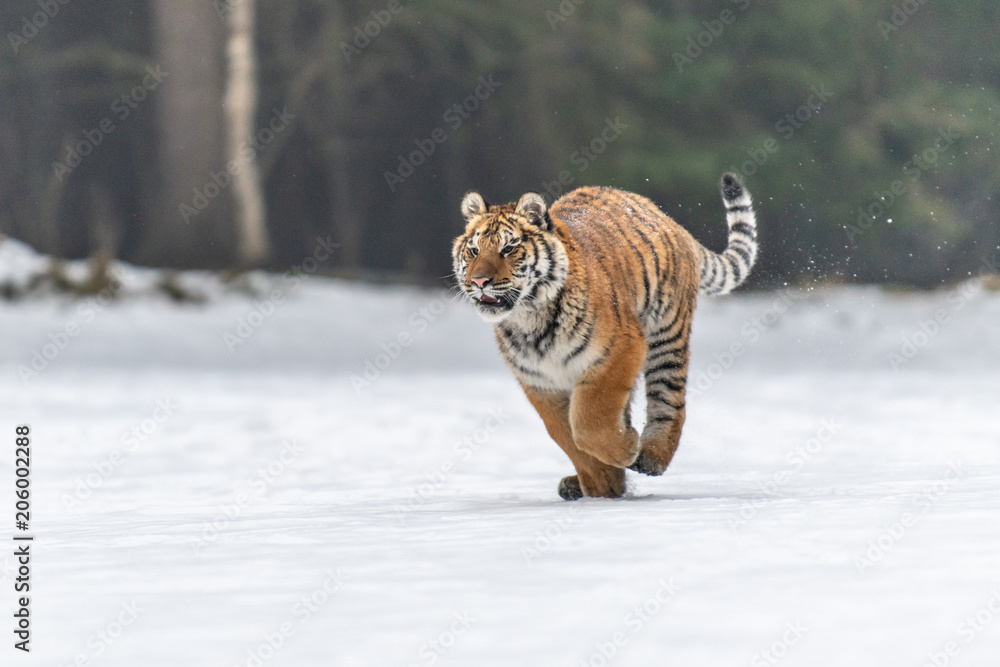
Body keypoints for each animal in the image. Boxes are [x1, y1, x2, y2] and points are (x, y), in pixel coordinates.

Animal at [451, 172, 757, 500]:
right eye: (473, 250)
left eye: (508, 249)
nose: (479, 281)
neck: (530, 319)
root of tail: (664, 216)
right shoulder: (540, 383)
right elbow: (567, 435)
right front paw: (604, 486)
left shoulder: (619, 349)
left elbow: (588, 421)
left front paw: (625, 451)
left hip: (666, 337)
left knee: (669, 400)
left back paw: (651, 455)